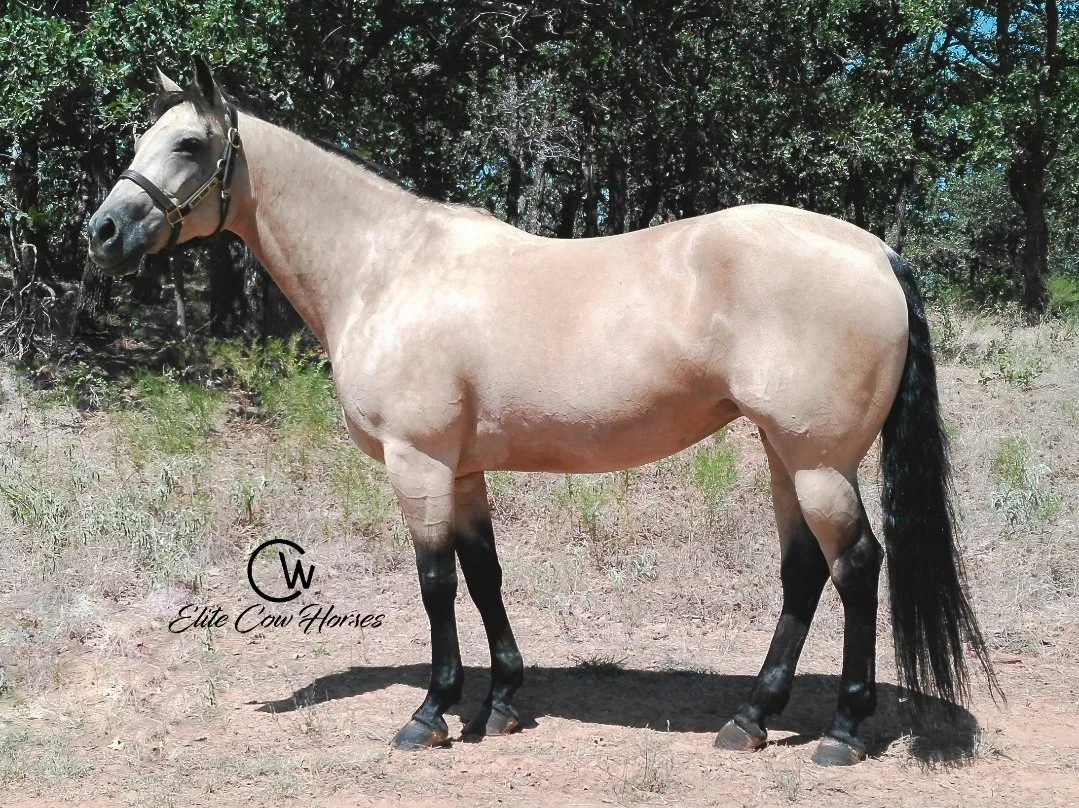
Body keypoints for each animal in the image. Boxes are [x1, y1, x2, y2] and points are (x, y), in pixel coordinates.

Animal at [87, 58, 997, 766]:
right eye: (138, 142)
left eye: (190, 145)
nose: (101, 232)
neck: (389, 268)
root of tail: (874, 251)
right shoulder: (462, 469)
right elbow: (484, 573)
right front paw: (500, 703)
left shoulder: (416, 462)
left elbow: (434, 583)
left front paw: (432, 713)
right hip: (786, 455)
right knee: (804, 571)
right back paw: (749, 718)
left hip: (817, 462)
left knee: (856, 568)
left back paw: (841, 730)